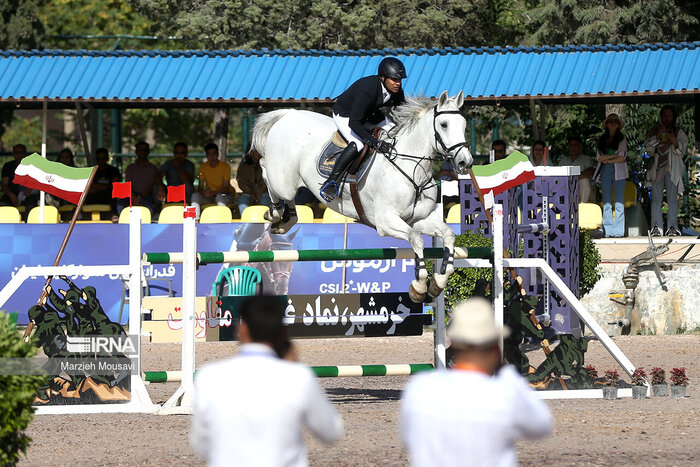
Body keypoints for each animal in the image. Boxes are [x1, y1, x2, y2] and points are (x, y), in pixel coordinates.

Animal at [249, 90, 474, 304]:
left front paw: (438, 282)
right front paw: (418, 288)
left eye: (464, 124)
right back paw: (276, 213)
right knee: (264, 170)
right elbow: (416, 239)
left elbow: (448, 235)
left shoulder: (418, 219)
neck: (411, 166)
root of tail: (289, 115)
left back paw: (285, 221)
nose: (465, 163)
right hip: (283, 180)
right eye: (444, 125)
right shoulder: (385, 221)